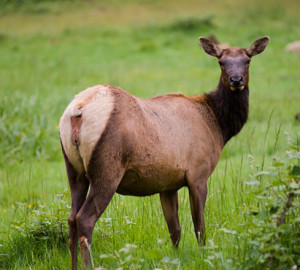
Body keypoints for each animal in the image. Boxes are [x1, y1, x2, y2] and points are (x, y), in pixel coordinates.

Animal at [59, 36, 270, 270]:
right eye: (221, 62)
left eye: (247, 60)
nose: (236, 80)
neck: (218, 126)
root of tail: (78, 110)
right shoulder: (198, 173)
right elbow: (199, 226)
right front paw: (205, 257)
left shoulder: (168, 184)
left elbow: (174, 229)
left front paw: (175, 259)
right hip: (107, 169)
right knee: (85, 218)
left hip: (74, 170)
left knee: (71, 219)